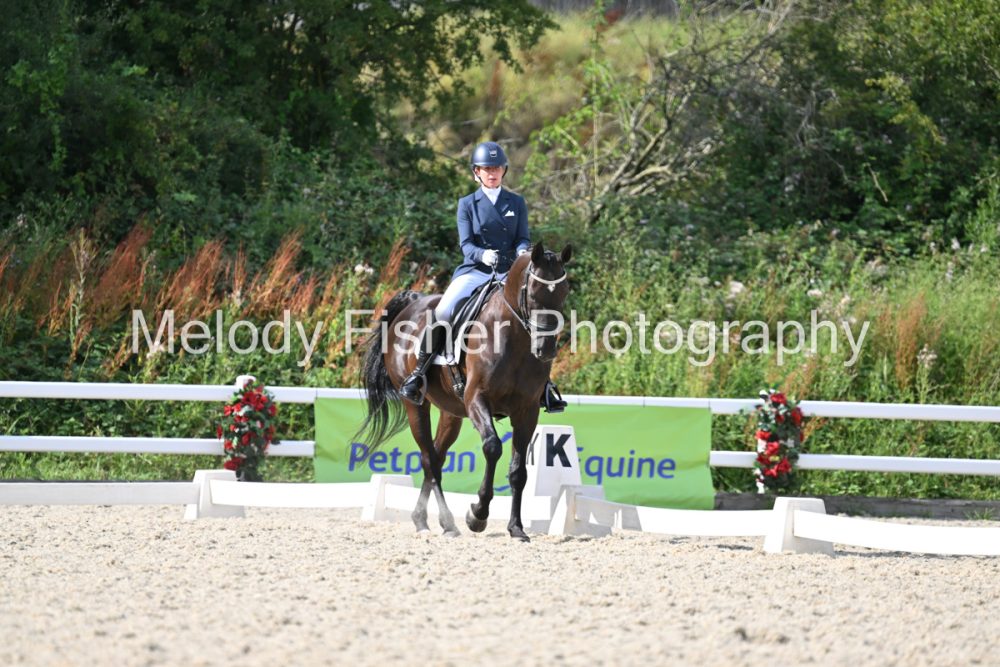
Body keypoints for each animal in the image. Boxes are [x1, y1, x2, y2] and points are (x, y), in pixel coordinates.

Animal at [354, 242, 572, 541]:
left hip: (451, 411)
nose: (546, 350)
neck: (513, 338)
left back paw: (426, 520)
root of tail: (415, 302)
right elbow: (492, 447)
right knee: (429, 459)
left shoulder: (527, 410)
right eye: (533, 294)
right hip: (416, 404)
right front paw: (477, 515)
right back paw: (447, 522)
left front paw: (516, 528)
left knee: (436, 455)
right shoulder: (477, 399)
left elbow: (518, 471)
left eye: (563, 294)